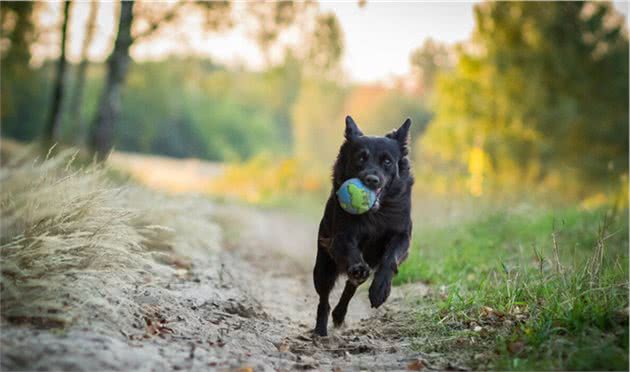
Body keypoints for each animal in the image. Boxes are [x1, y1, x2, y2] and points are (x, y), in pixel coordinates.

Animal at [312, 115, 414, 336]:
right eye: (361, 158)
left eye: (387, 161)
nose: (372, 180)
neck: (376, 214)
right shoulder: (342, 236)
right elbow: (351, 251)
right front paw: (358, 268)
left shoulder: (402, 235)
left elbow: (390, 258)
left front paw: (380, 290)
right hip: (323, 268)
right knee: (324, 300)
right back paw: (320, 329)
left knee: (350, 287)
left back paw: (340, 314)